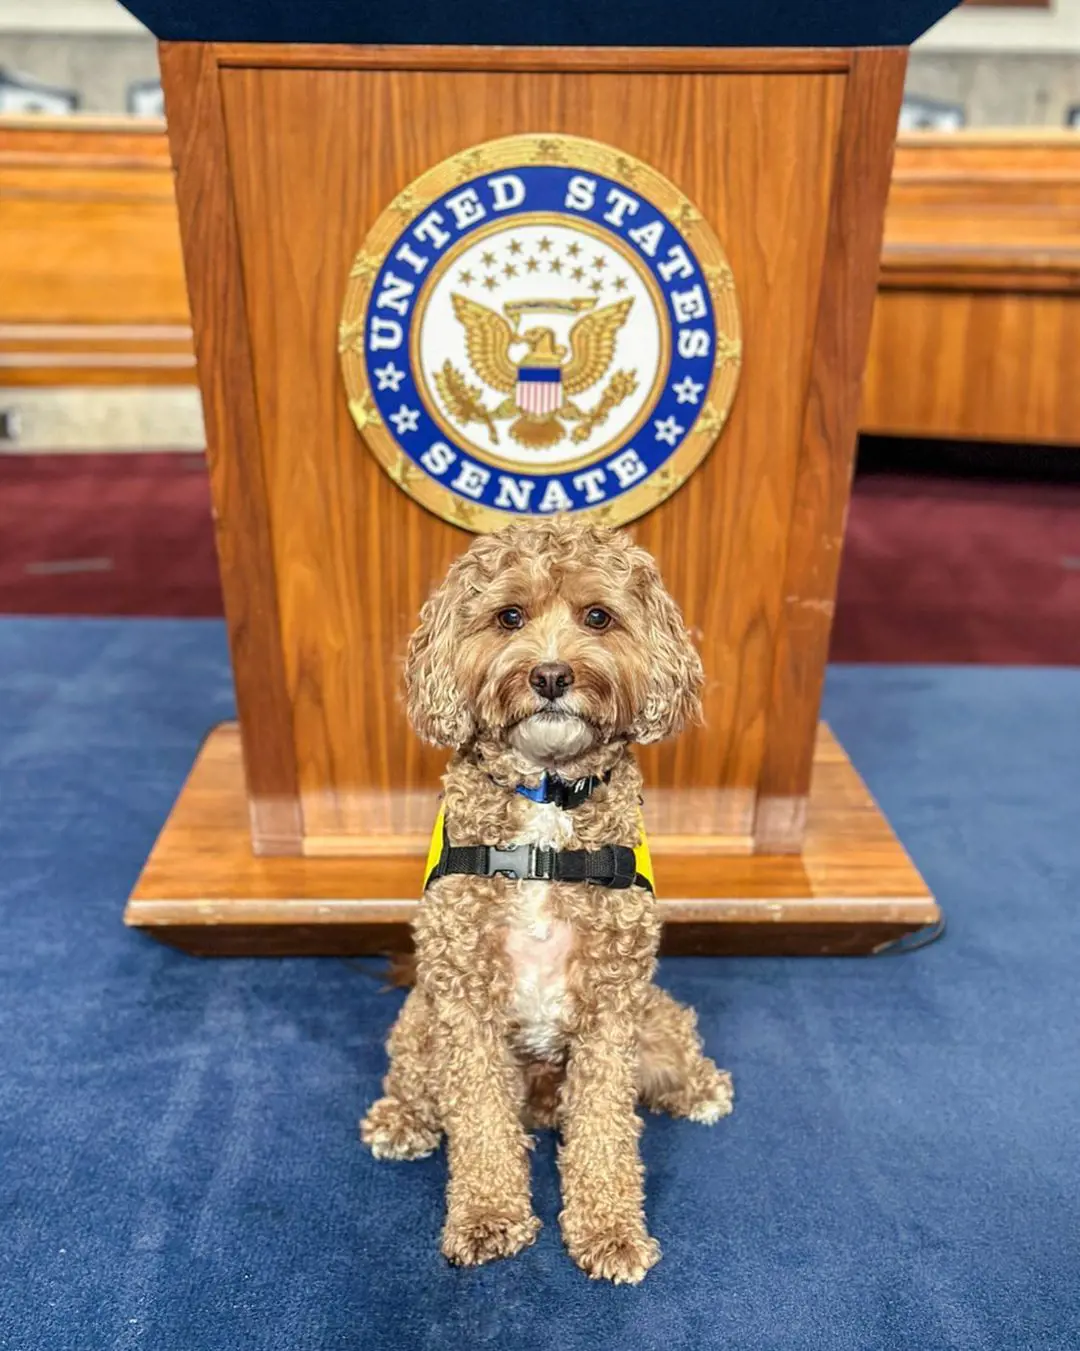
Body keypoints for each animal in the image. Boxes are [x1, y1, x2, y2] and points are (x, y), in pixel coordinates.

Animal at [362, 518, 735, 1286]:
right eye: (509, 616)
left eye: (598, 616)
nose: (553, 676)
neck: (547, 806)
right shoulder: (465, 1002)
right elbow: (479, 1120)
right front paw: (487, 1216)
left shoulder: (611, 1006)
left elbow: (604, 1128)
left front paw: (609, 1229)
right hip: (421, 1022)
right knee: (419, 1078)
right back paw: (400, 1119)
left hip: (651, 1016)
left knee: (668, 1049)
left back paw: (699, 1086)